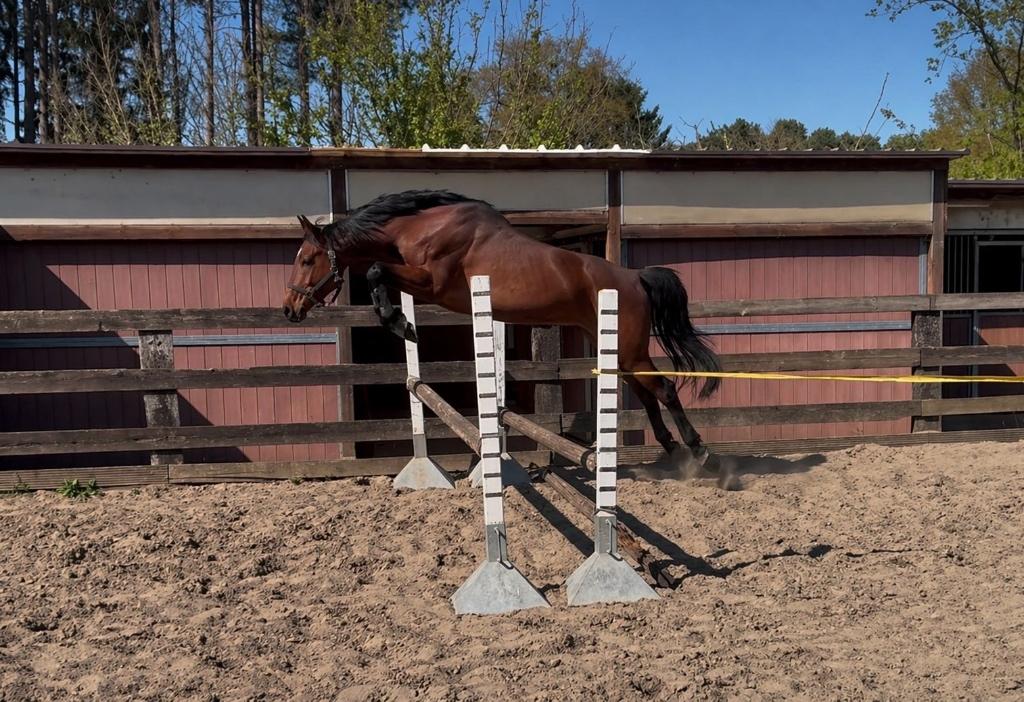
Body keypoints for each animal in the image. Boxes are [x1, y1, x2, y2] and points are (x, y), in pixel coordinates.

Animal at [282, 189, 722, 467]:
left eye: (306, 259)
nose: (289, 309)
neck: (421, 227)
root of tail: (634, 277)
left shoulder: (432, 282)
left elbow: (376, 269)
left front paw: (400, 324)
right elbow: (379, 274)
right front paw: (401, 323)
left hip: (630, 349)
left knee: (664, 389)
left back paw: (697, 449)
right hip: (613, 347)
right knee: (648, 393)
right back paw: (670, 447)